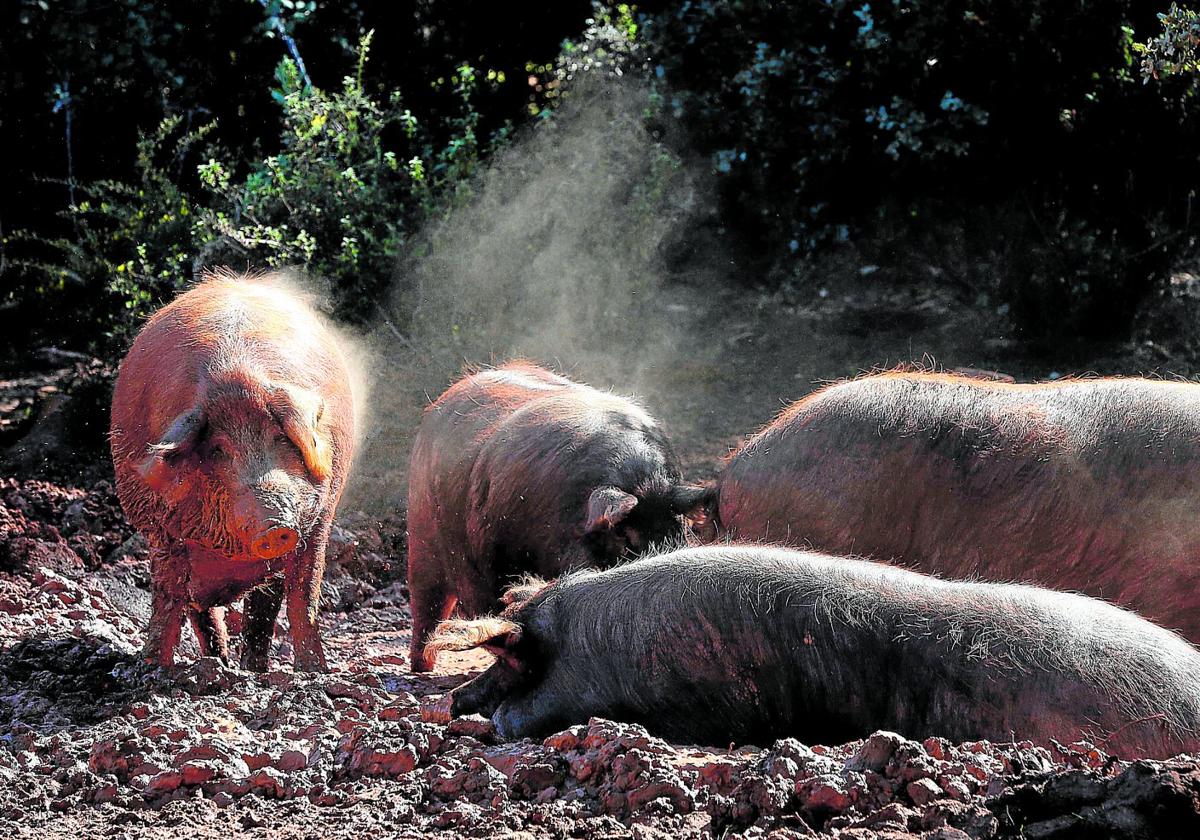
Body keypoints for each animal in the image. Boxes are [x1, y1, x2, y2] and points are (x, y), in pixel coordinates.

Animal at [109, 272, 352, 672]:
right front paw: (152, 668)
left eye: (279, 438)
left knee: (263, 606)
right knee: (200, 608)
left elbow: (304, 595)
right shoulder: (162, 529)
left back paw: (252, 669)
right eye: (218, 450)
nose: (276, 526)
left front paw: (315, 671)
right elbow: (168, 596)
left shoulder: (320, 520)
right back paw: (218, 662)